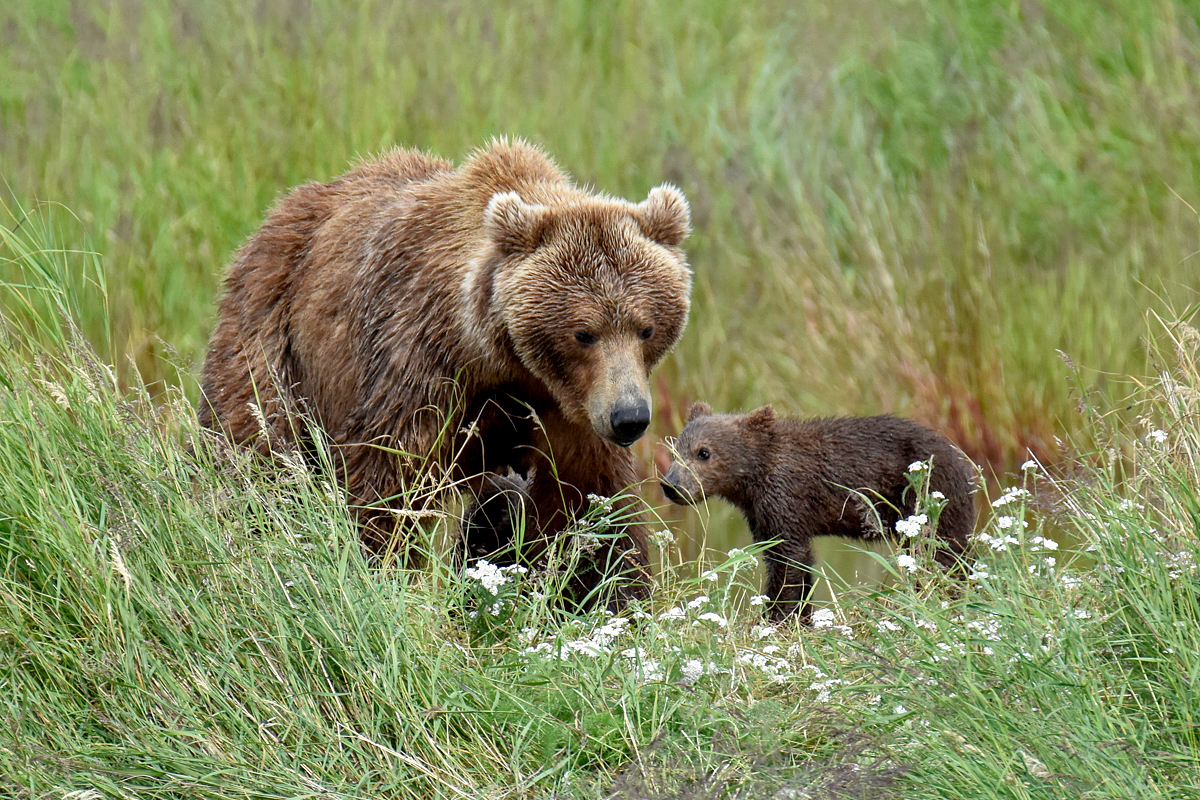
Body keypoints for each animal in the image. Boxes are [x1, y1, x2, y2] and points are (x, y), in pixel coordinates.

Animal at [199, 139, 696, 594]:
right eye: (583, 332)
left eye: (647, 328)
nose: (629, 417)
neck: (500, 357)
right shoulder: (417, 364)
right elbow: (388, 487)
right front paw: (379, 571)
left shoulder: (568, 410)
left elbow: (590, 502)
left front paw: (608, 593)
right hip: (270, 334)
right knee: (255, 450)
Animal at [662, 402, 979, 623]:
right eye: (675, 449)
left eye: (704, 452)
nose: (671, 485)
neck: (754, 481)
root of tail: (966, 463)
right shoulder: (762, 515)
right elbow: (783, 560)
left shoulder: (787, 500)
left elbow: (791, 563)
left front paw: (779, 617)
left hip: (929, 500)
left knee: (944, 554)